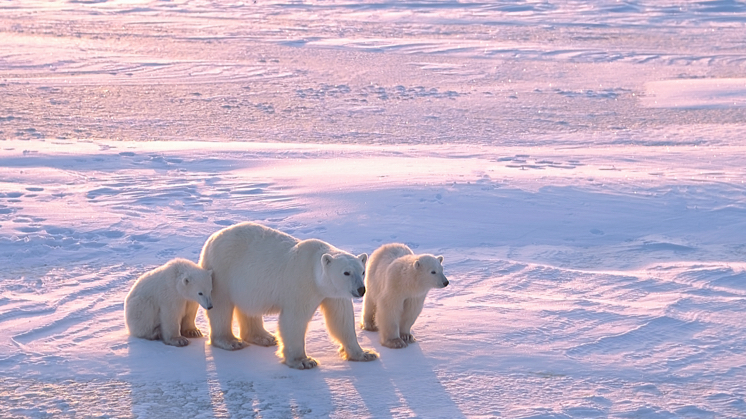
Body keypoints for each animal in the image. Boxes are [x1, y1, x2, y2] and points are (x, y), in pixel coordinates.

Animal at [198, 222, 378, 369]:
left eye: (362, 271)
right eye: (346, 272)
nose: (361, 290)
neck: (314, 270)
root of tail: (212, 238)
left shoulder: (334, 294)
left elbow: (341, 319)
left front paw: (365, 354)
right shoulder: (302, 284)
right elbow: (294, 320)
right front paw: (304, 361)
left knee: (249, 308)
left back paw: (264, 337)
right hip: (222, 271)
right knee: (221, 307)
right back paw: (230, 341)